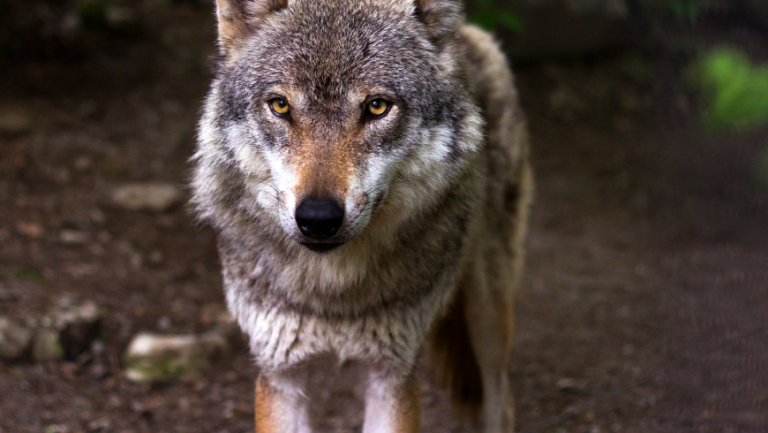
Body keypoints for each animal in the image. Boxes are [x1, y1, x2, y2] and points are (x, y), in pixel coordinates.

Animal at [190, 0, 536, 430]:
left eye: (377, 107)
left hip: (488, 317)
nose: (318, 217)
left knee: (500, 401)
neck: (333, 293)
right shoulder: (280, 373)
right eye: (280, 105)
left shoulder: (393, 373)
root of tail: (468, 33)